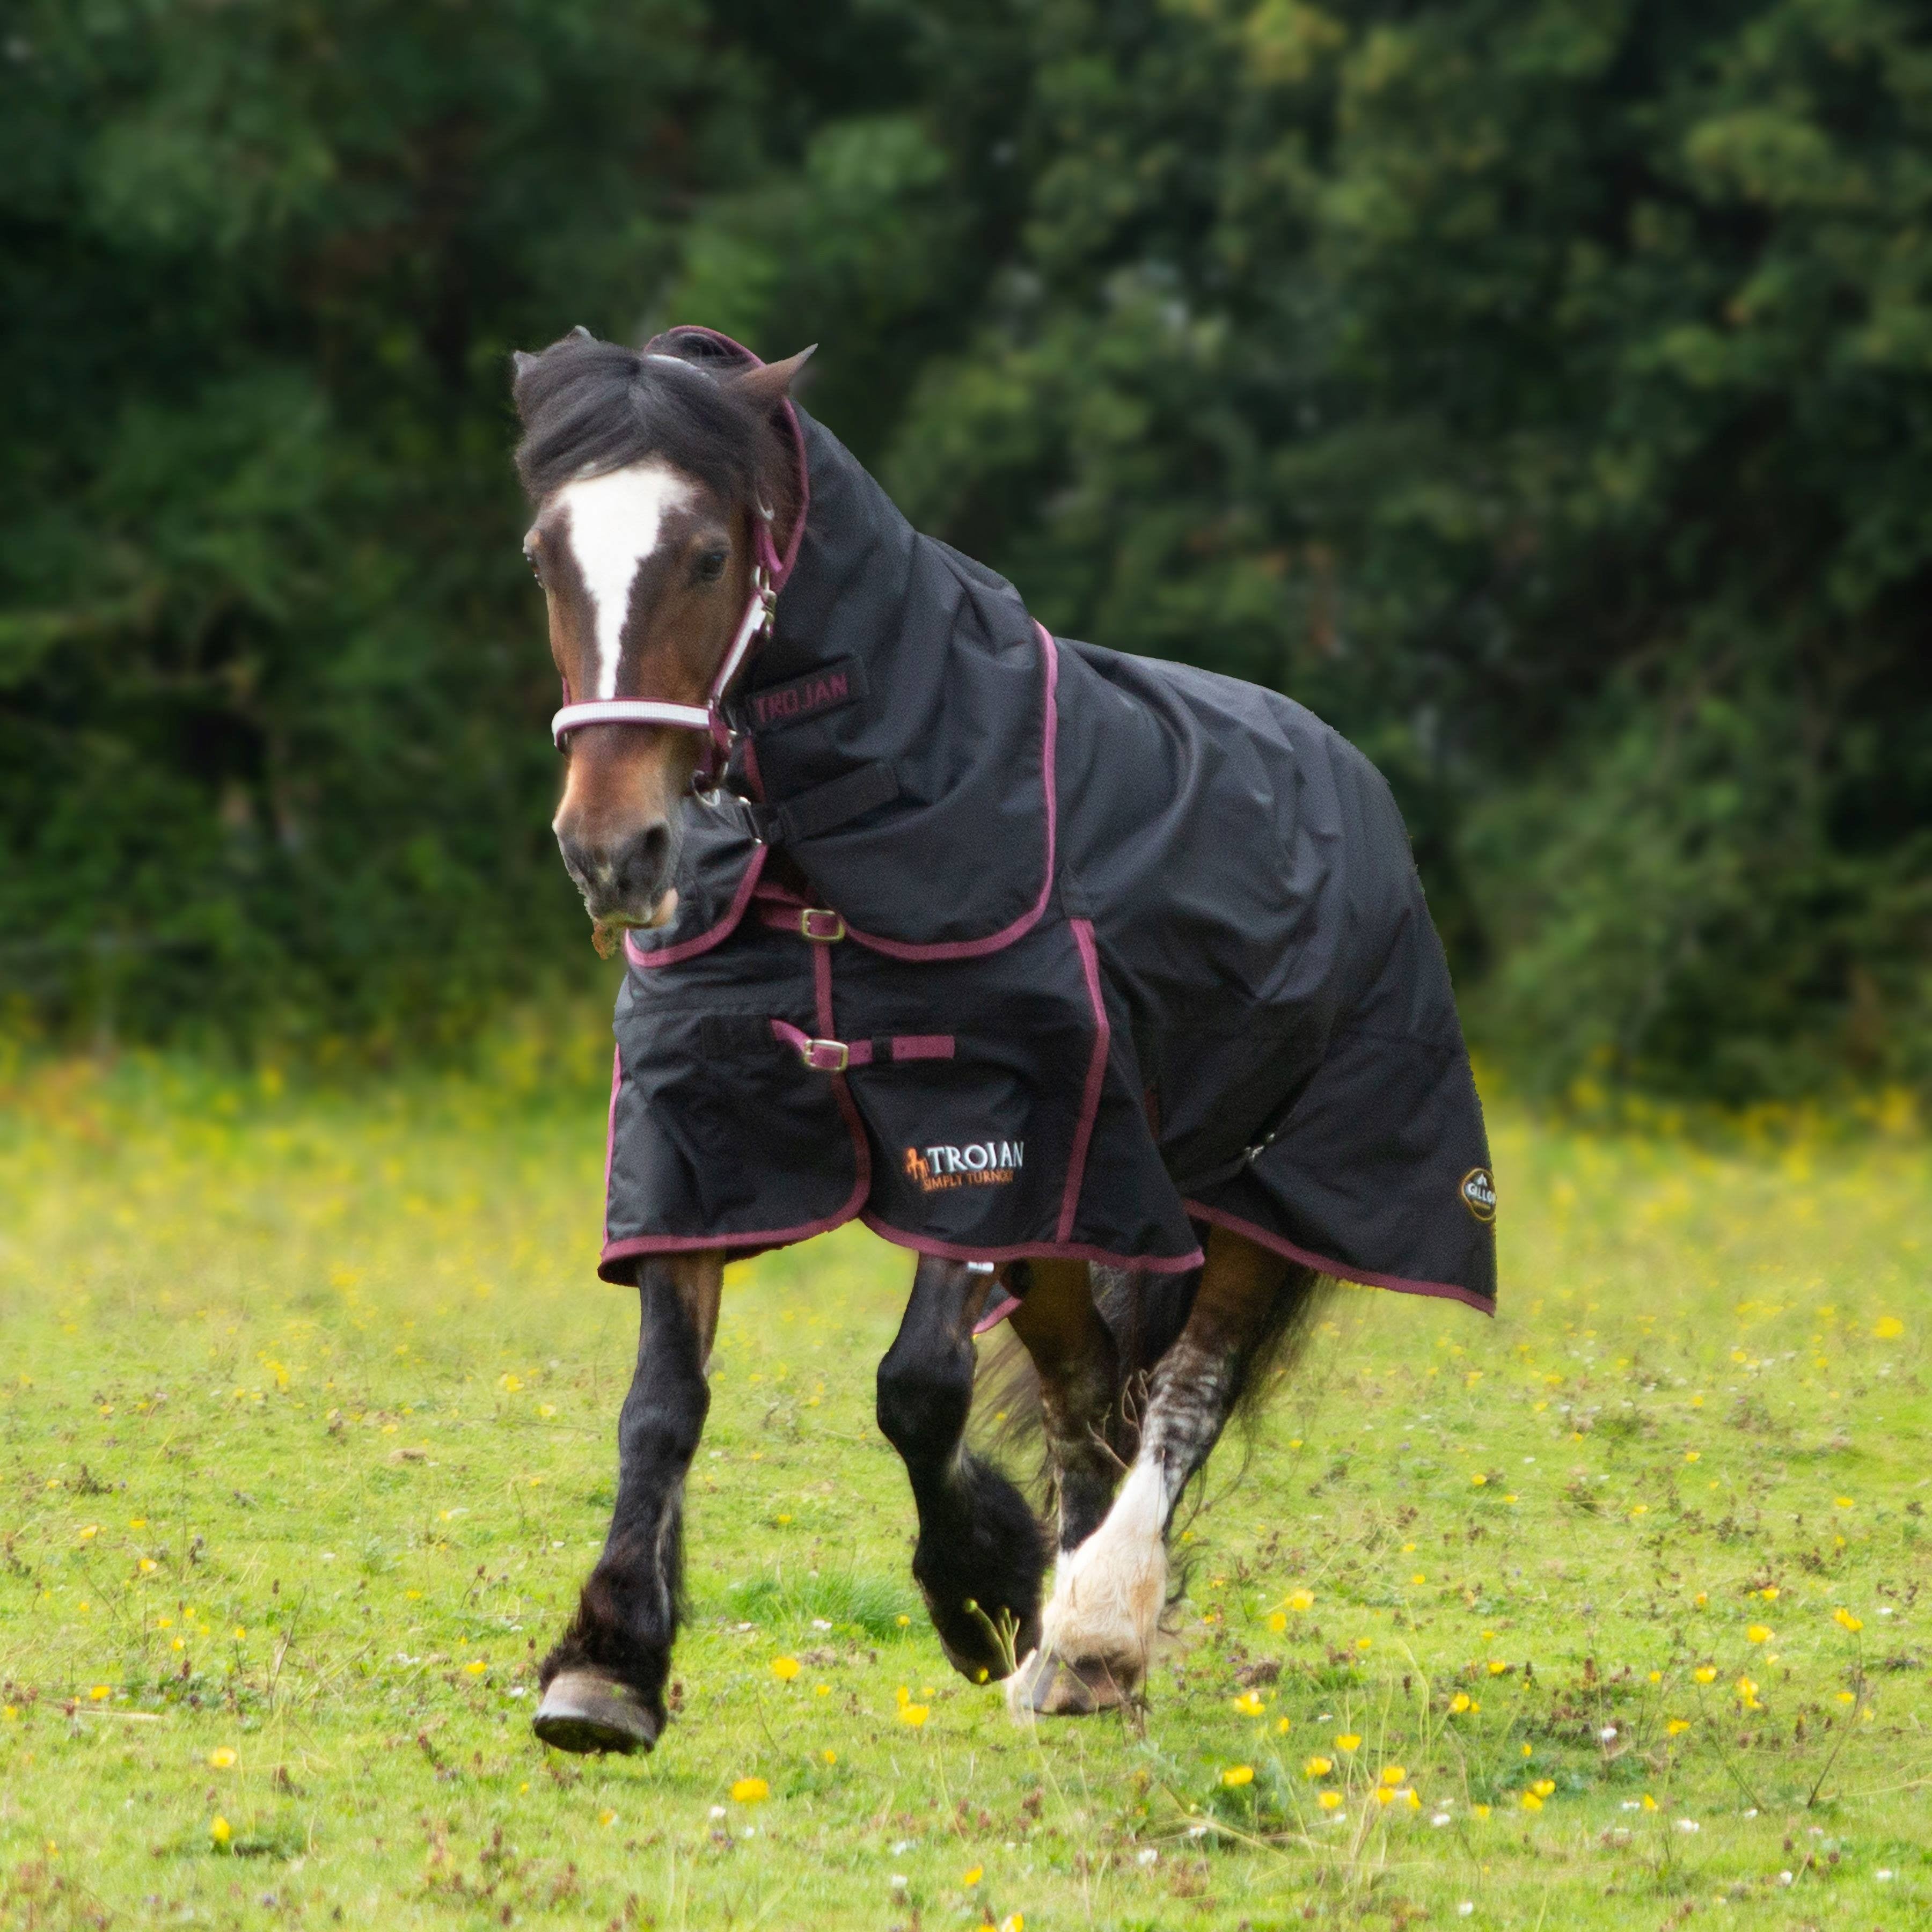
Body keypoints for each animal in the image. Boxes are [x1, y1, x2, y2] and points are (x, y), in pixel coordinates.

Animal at [508, 325, 1497, 1753]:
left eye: (702, 555)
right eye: (546, 554)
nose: (612, 852)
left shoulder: (989, 1131)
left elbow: (919, 1384)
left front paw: (979, 1592)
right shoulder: (699, 1136)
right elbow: (663, 1400)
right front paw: (608, 1667)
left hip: (1268, 1188)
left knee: (1184, 1395)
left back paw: (1091, 1633)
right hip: (1095, 1222)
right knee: (1094, 1396)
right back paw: (1072, 1633)